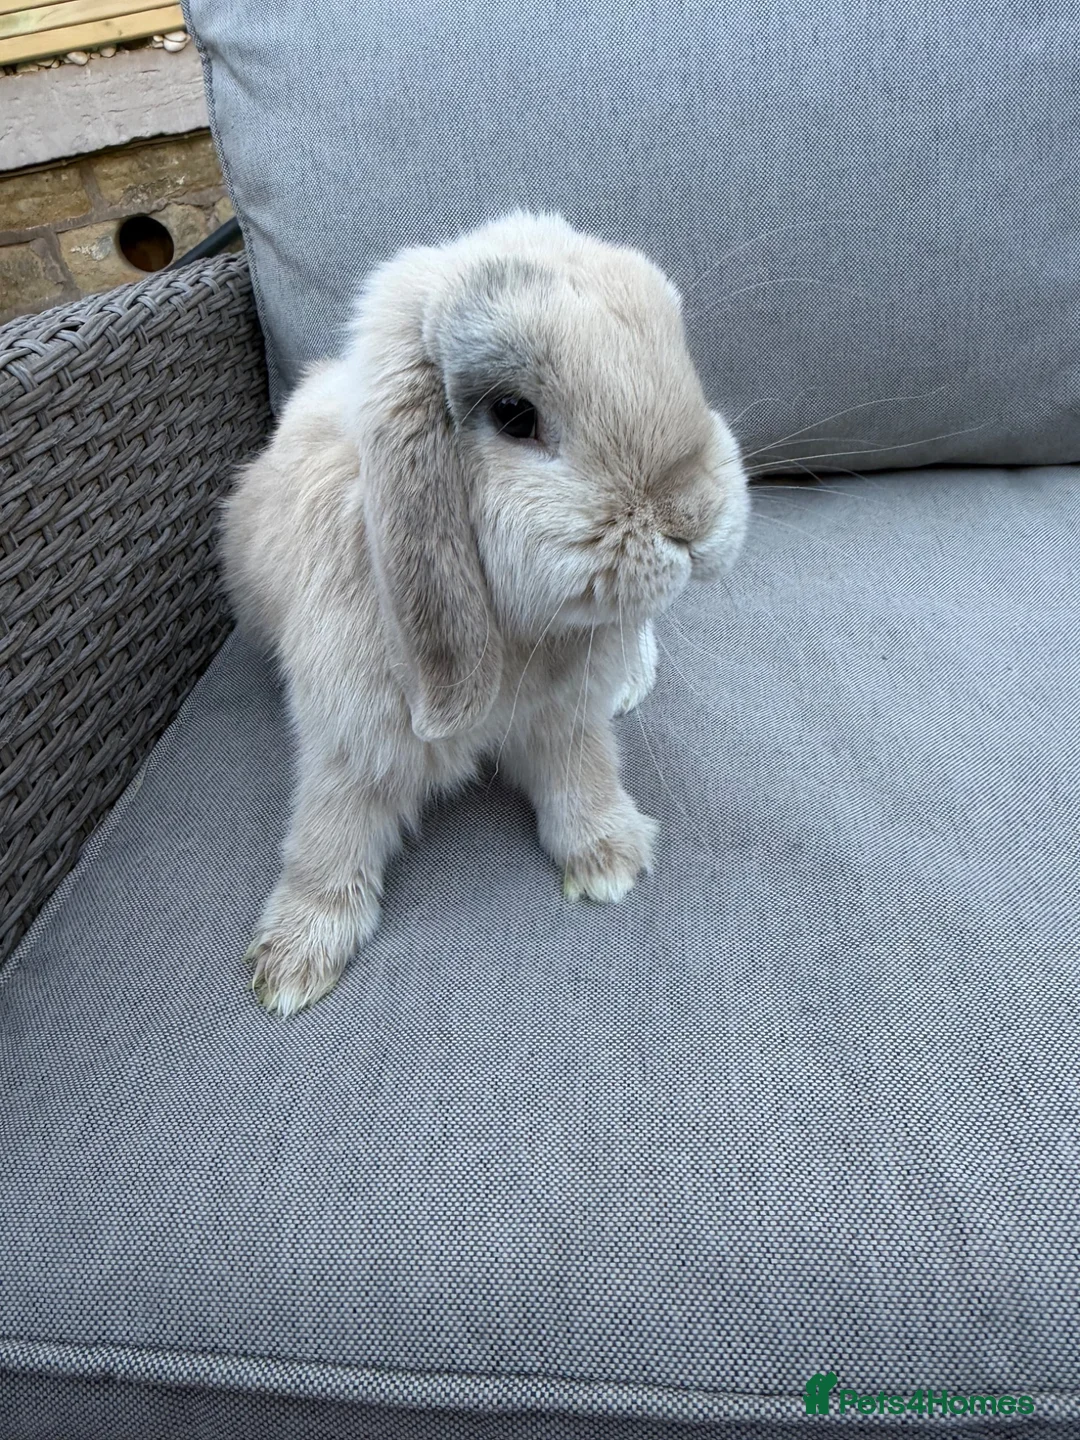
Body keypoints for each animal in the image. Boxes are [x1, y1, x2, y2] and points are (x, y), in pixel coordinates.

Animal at [220, 210, 749, 1015]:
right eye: (513, 414)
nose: (694, 516)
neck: (517, 634)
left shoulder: (566, 722)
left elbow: (583, 776)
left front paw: (609, 858)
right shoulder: (351, 747)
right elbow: (328, 835)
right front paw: (294, 963)